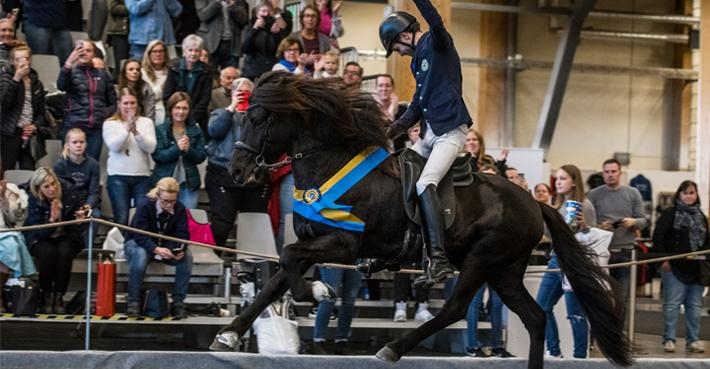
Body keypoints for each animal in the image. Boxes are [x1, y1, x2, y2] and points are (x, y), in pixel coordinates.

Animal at [211, 71, 636, 368]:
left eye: (259, 117)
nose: (236, 171)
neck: (328, 165)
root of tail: (533, 202)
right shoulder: (314, 242)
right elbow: (276, 279)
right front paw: (228, 336)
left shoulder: (344, 244)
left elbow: (287, 264)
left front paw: (318, 292)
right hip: (505, 270)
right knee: (534, 318)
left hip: (483, 259)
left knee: (458, 309)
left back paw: (392, 348)